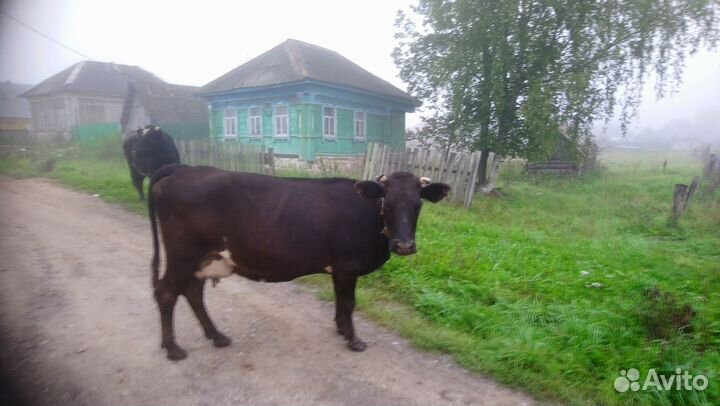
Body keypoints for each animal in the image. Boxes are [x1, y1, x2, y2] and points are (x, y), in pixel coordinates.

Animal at [148, 164, 450, 360]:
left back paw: (217, 336)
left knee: (192, 292)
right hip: (183, 254)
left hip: (202, 259)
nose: (404, 246)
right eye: (387, 204)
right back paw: (173, 349)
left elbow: (340, 302)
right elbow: (349, 303)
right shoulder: (348, 265)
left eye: (418, 205)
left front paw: (341, 329)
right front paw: (353, 339)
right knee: (166, 292)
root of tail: (182, 170)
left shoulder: (338, 268)